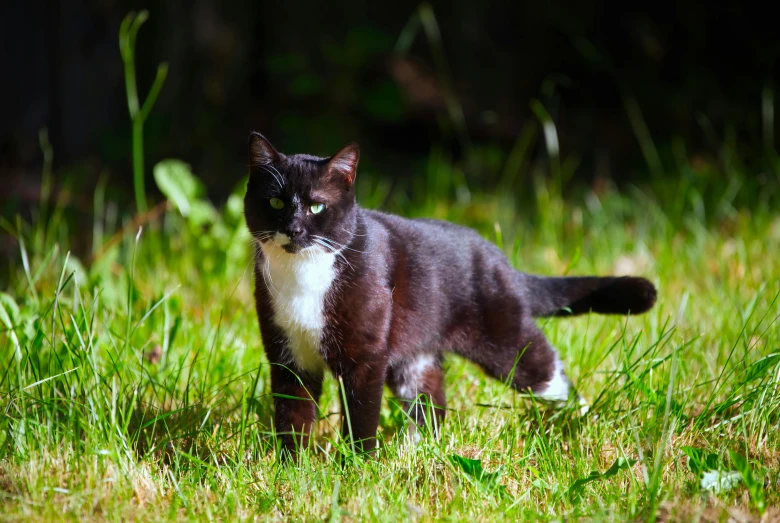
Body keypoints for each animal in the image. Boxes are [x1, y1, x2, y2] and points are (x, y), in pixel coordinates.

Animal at [244, 133, 660, 460]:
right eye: (276, 203)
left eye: (316, 206)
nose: (293, 229)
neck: (302, 276)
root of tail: (501, 261)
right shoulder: (287, 352)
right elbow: (292, 414)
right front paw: (291, 468)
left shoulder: (366, 355)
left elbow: (361, 413)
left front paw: (356, 465)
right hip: (415, 349)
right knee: (429, 399)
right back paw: (412, 453)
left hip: (506, 340)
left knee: (548, 373)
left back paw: (579, 422)